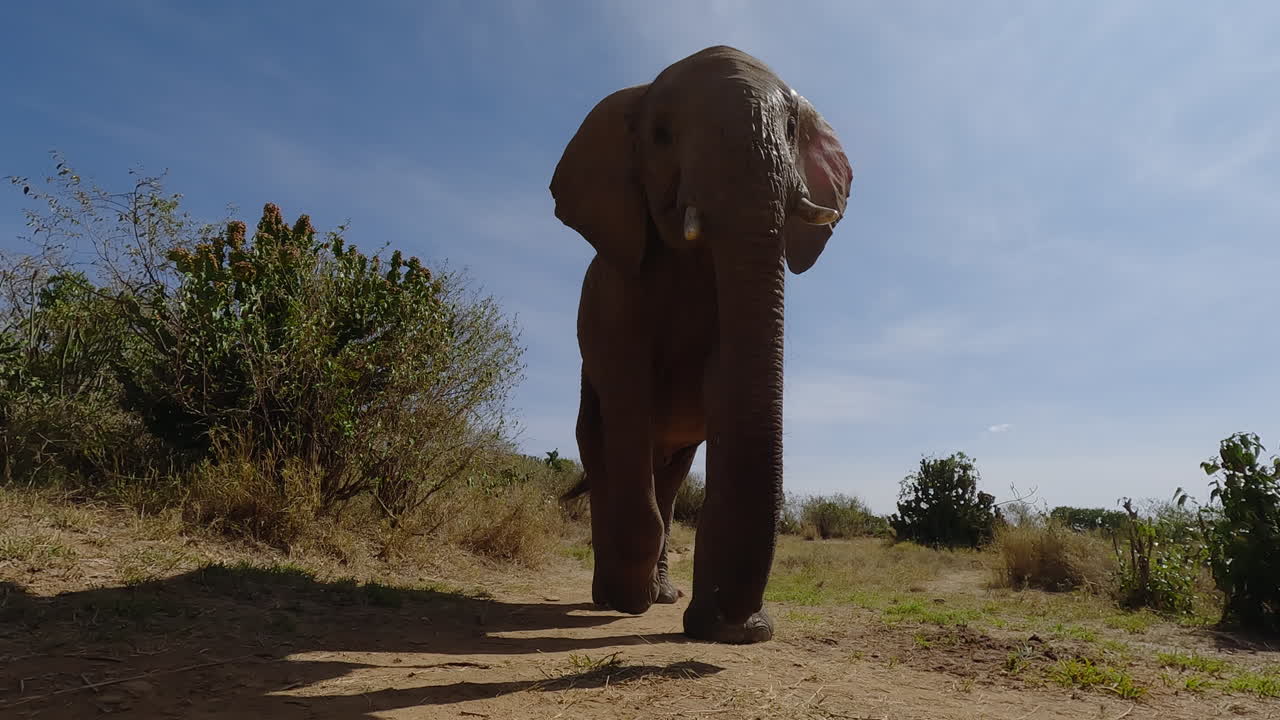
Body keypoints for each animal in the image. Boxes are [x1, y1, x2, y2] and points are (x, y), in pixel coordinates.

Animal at [549, 45, 853, 644]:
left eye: (790, 128)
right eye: (662, 134)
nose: (742, 625)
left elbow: (725, 387)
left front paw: (721, 626)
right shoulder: (615, 297)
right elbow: (628, 396)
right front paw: (629, 602)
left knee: (669, 477)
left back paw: (660, 594)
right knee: (608, 456)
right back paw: (615, 597)